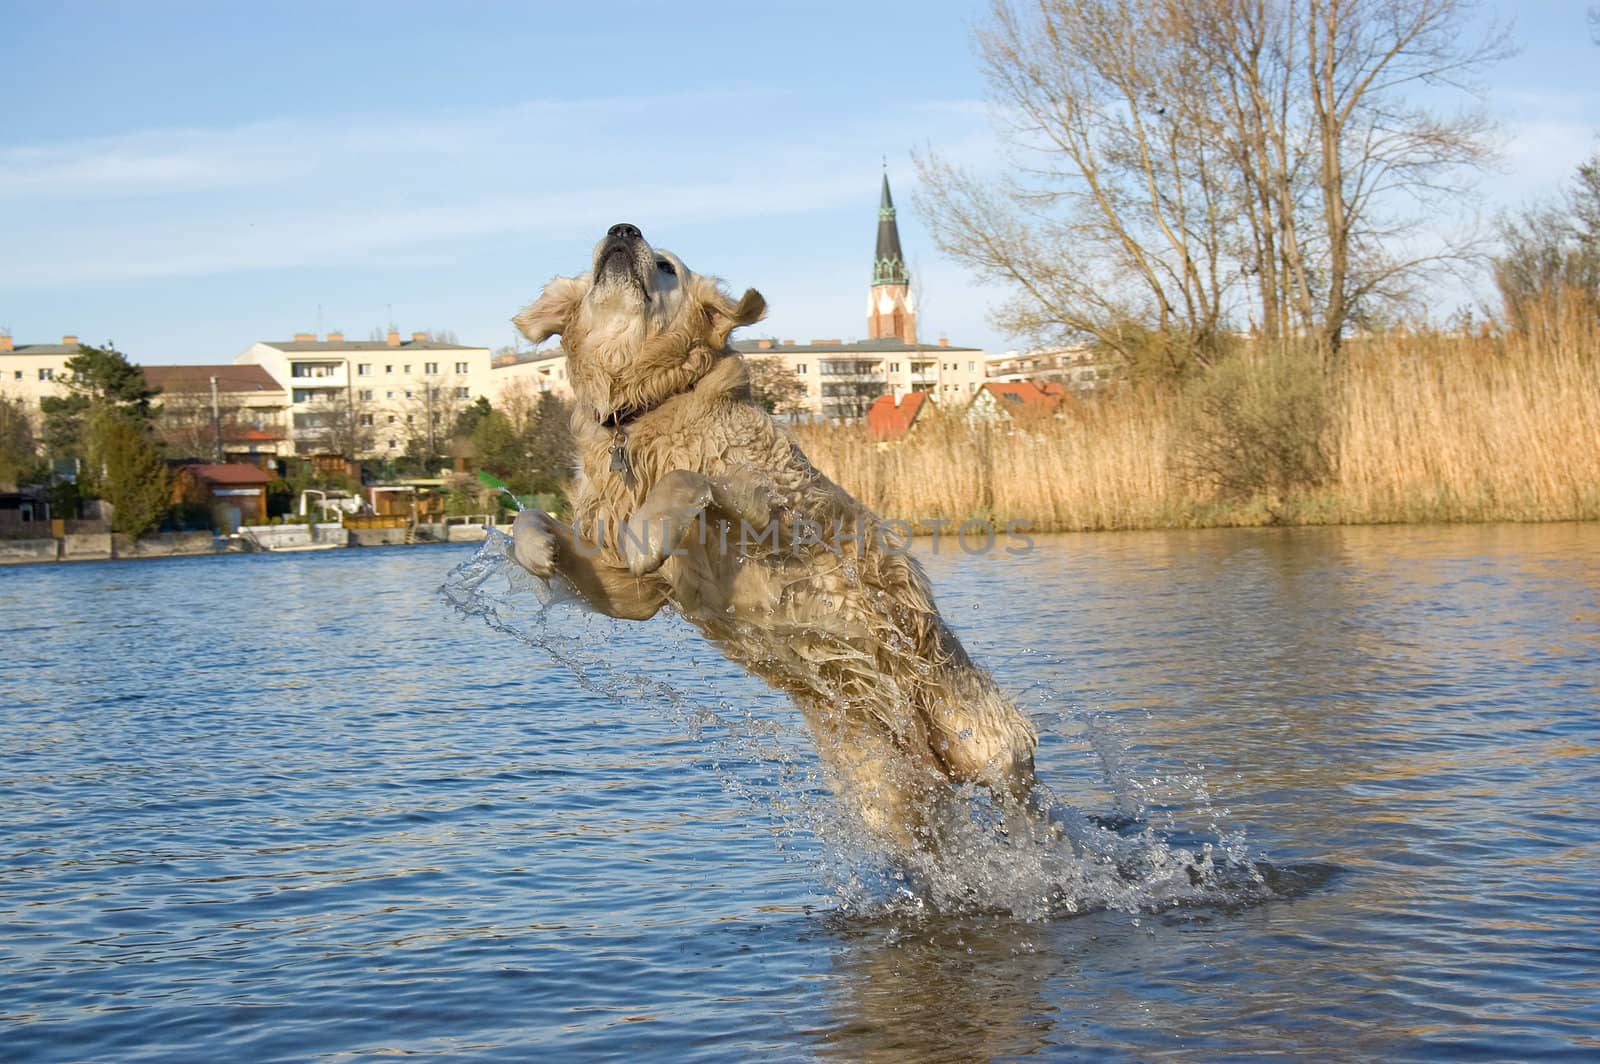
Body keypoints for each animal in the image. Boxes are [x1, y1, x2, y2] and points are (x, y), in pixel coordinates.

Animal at [505, 222, 1043, 857]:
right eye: (598, 260)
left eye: (666, 266)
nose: (623, 229)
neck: (645, 408)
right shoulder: (634, 594)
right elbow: (533, 521)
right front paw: (535, 550)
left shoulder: (775, 508)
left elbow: (690, 480)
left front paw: (650, 529)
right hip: (887, 796)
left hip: (978, 735)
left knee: (1024, 794)